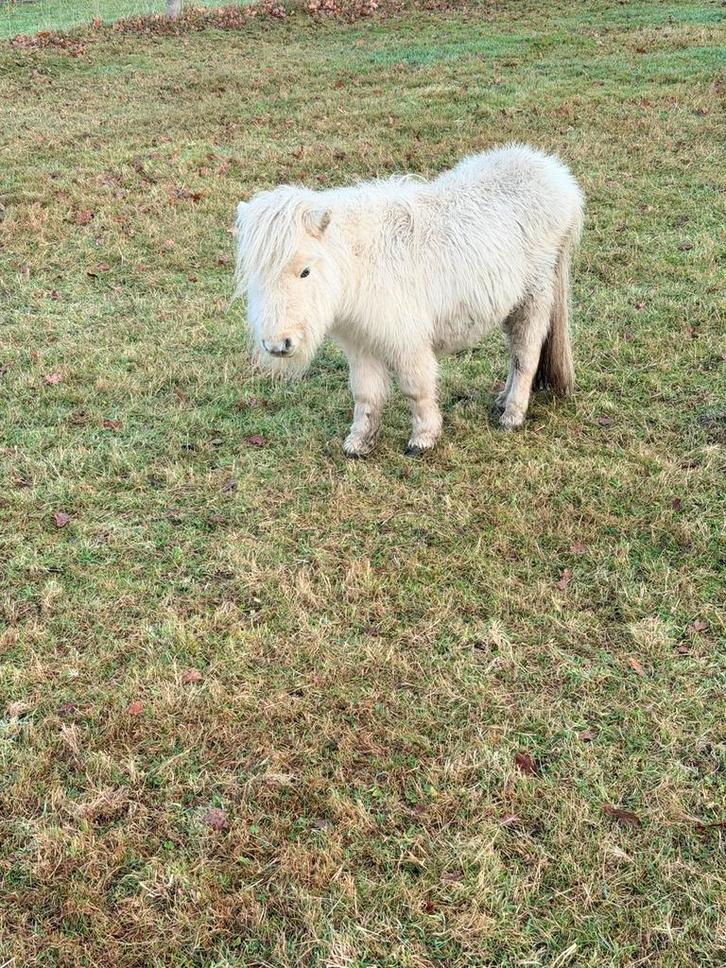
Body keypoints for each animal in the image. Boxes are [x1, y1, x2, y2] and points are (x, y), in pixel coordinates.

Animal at [234, 143, 584, 456]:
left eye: (305, 271)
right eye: (255, 275)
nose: (278, 345)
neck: (359, 264)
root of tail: (557, 176)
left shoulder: (408, 341)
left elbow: (417, 388)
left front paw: (423, 438)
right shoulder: (361, 343)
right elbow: (365, 394)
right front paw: (359, 443)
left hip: (534, 296)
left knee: (525, 354)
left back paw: (512, 415)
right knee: (515, 354)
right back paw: (501, 401)